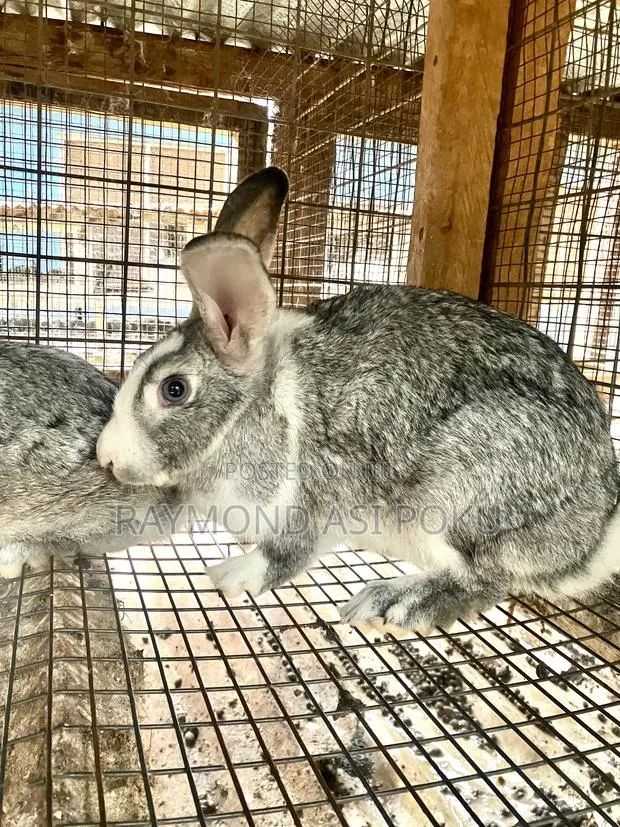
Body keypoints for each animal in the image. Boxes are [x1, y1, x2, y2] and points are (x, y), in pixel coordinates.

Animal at [96, 166, 620, 633]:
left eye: (174, 389)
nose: (106, 457)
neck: (253, 409)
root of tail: (591, 537)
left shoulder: (315, 499)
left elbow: (284, 555)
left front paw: (230, 576)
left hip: (465, 499)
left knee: (487, 581)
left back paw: (391, 603)